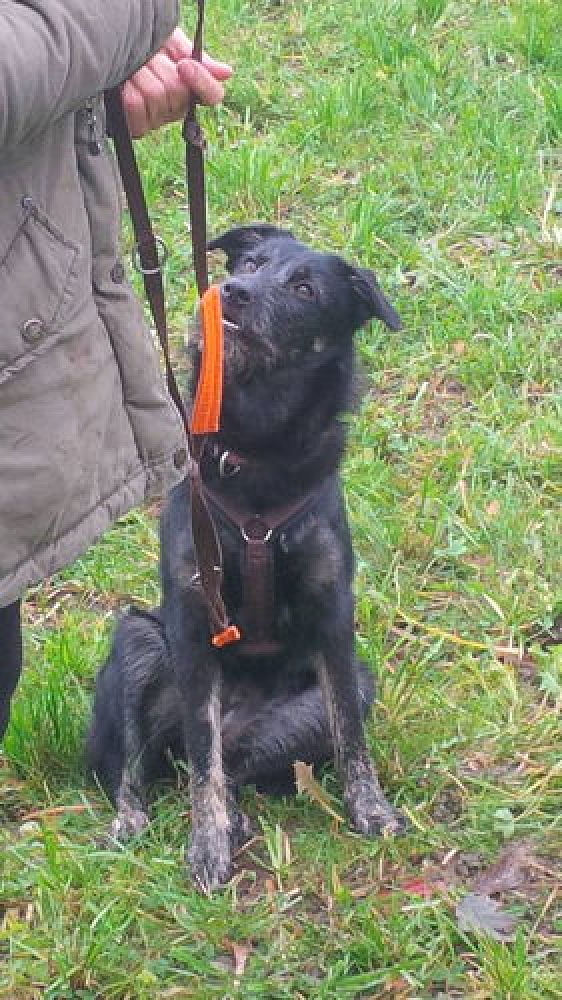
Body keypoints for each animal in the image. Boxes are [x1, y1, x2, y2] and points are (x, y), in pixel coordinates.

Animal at [86, 227, 402, 892]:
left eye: (305, 289)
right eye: (252, 263)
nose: (231, 290)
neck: (258, 447)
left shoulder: (333, 615)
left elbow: (351, 735)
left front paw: (370, 807)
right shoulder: (188, 619)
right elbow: (202, 759)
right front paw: (206, 845)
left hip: (319, 703)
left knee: (235, 761)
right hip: (139, 642)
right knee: (150, 764)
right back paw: (137, 818)